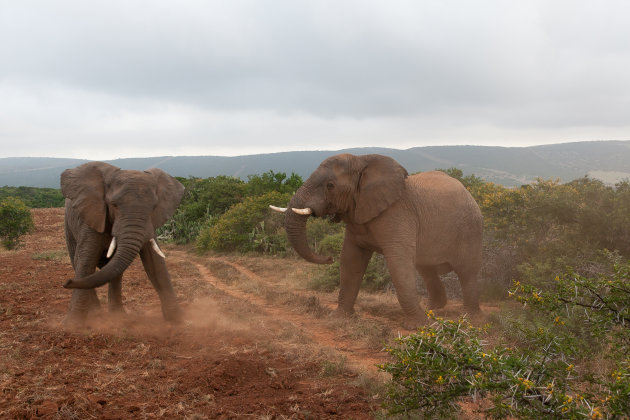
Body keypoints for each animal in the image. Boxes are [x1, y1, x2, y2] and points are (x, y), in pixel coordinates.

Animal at [60, 162, 185, 324]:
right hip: (68, 225)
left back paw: (118, 316)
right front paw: (71, 325)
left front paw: (178, 321)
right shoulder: (93, 218)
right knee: (78, 262)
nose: (66, 283)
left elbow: (155, 263)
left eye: (154, 207)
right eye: (114, 205)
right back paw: (97, 314)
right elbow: (86, 262)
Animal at [272, 153, 484, 330]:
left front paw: (418, 327)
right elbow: (351, 261)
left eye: (330, 185)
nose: (328, 257)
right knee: (426, 269)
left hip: (470, 229)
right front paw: (339, 318)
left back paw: (471, 318)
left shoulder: (397, 214)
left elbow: (398, 264)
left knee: (466, 271)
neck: (361, 162)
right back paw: (433, 308)